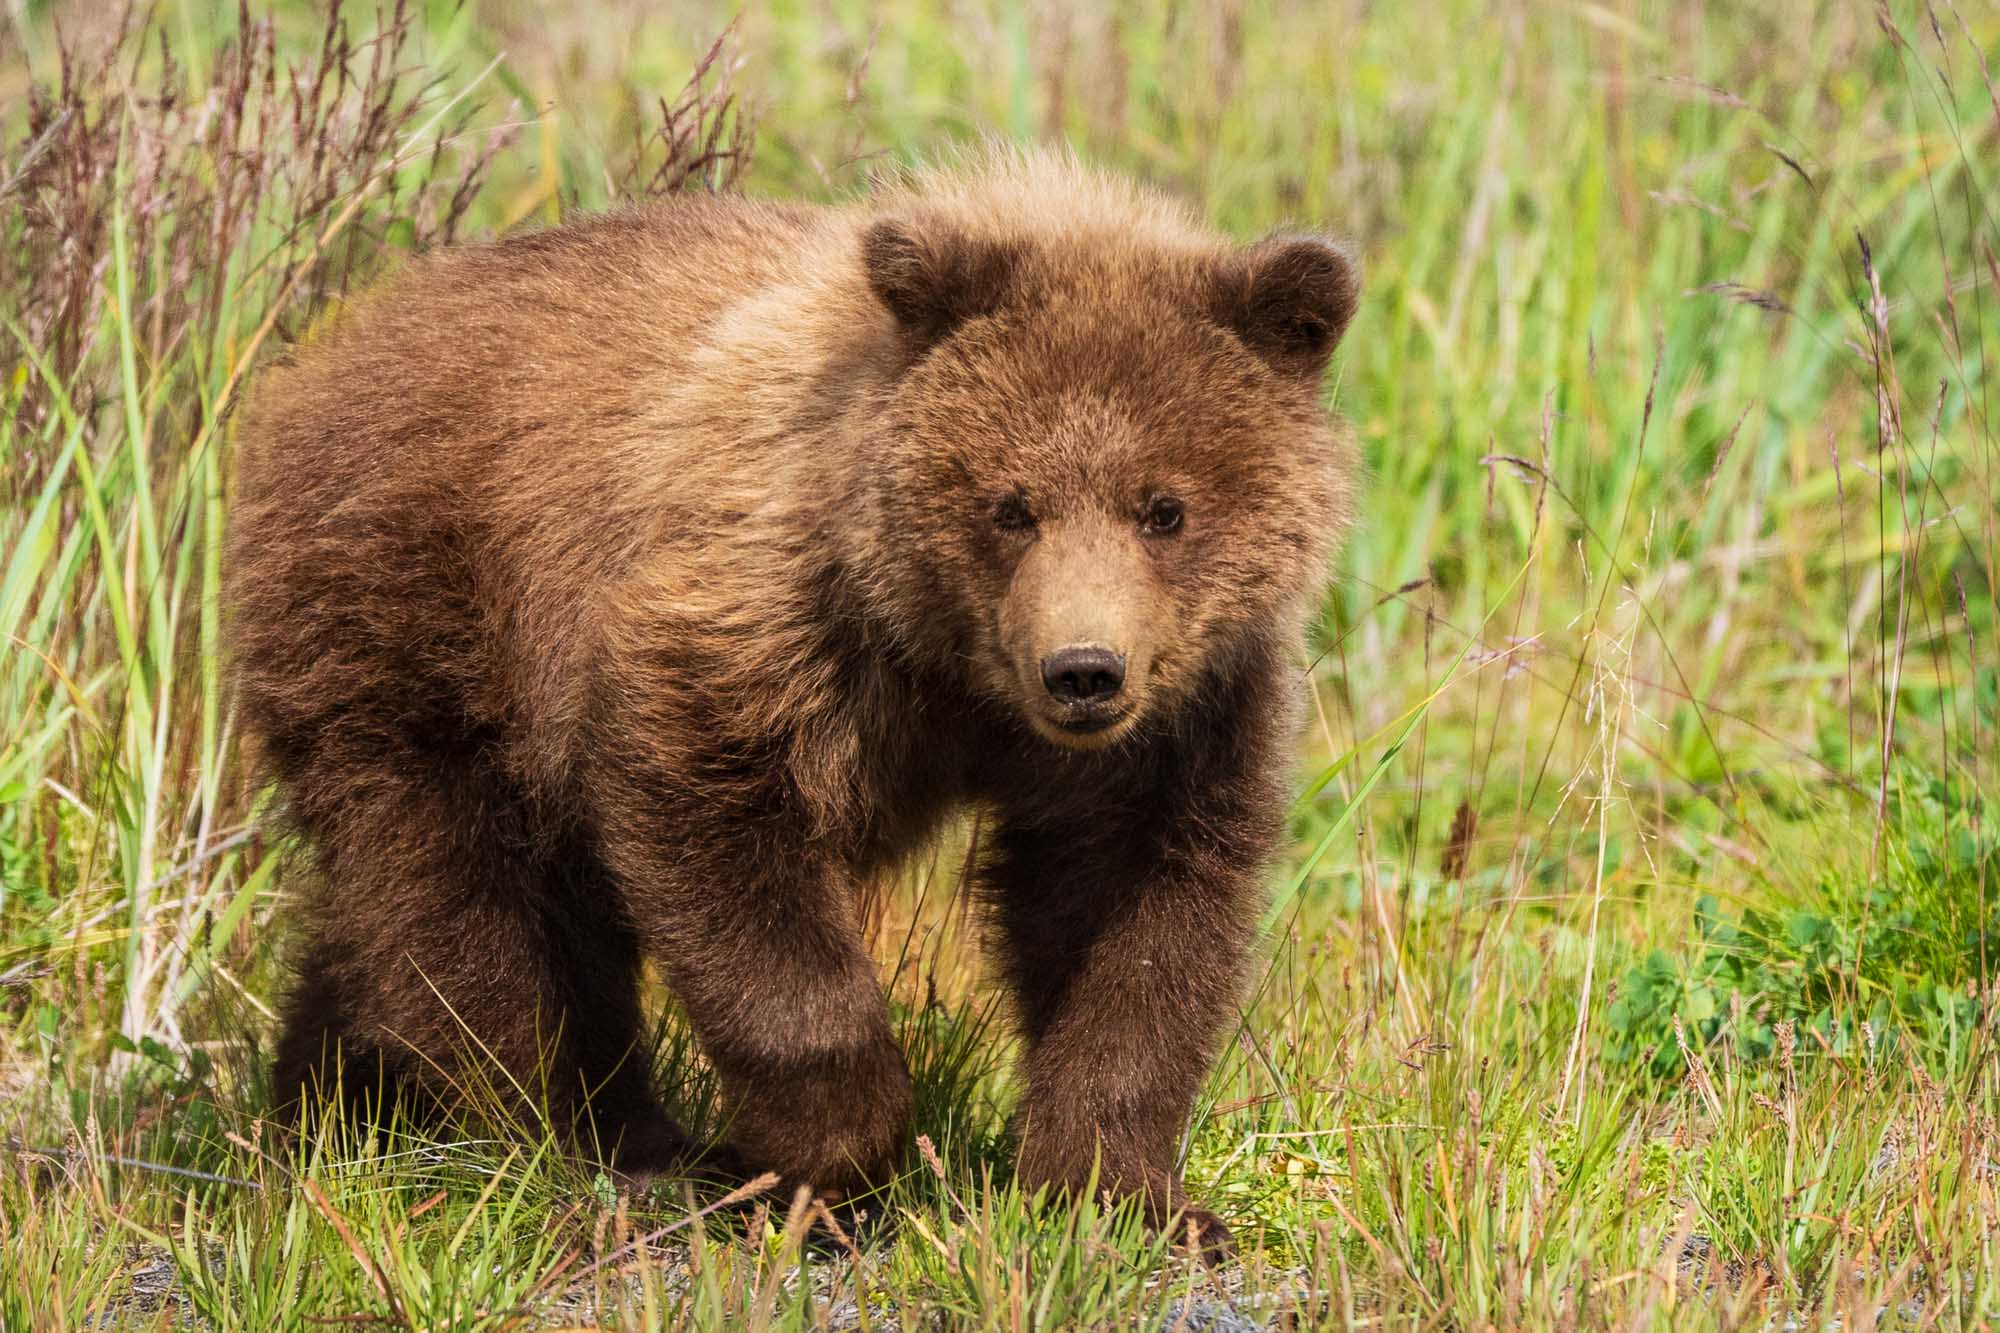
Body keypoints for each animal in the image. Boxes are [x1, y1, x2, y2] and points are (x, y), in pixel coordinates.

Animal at [225, 149, 1359, 1255]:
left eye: (1163, 508)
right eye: (1010, 504)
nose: (1083, 669)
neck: (951, 663)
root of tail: (331, 348)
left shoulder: (1180, 719)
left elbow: (1134, 913)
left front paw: (1127, 1194)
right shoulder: (770, 617)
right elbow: (727, 839)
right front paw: (833, 1157)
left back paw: (330, 1106)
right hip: (423, 626)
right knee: (467, 902)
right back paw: (560, 1142)